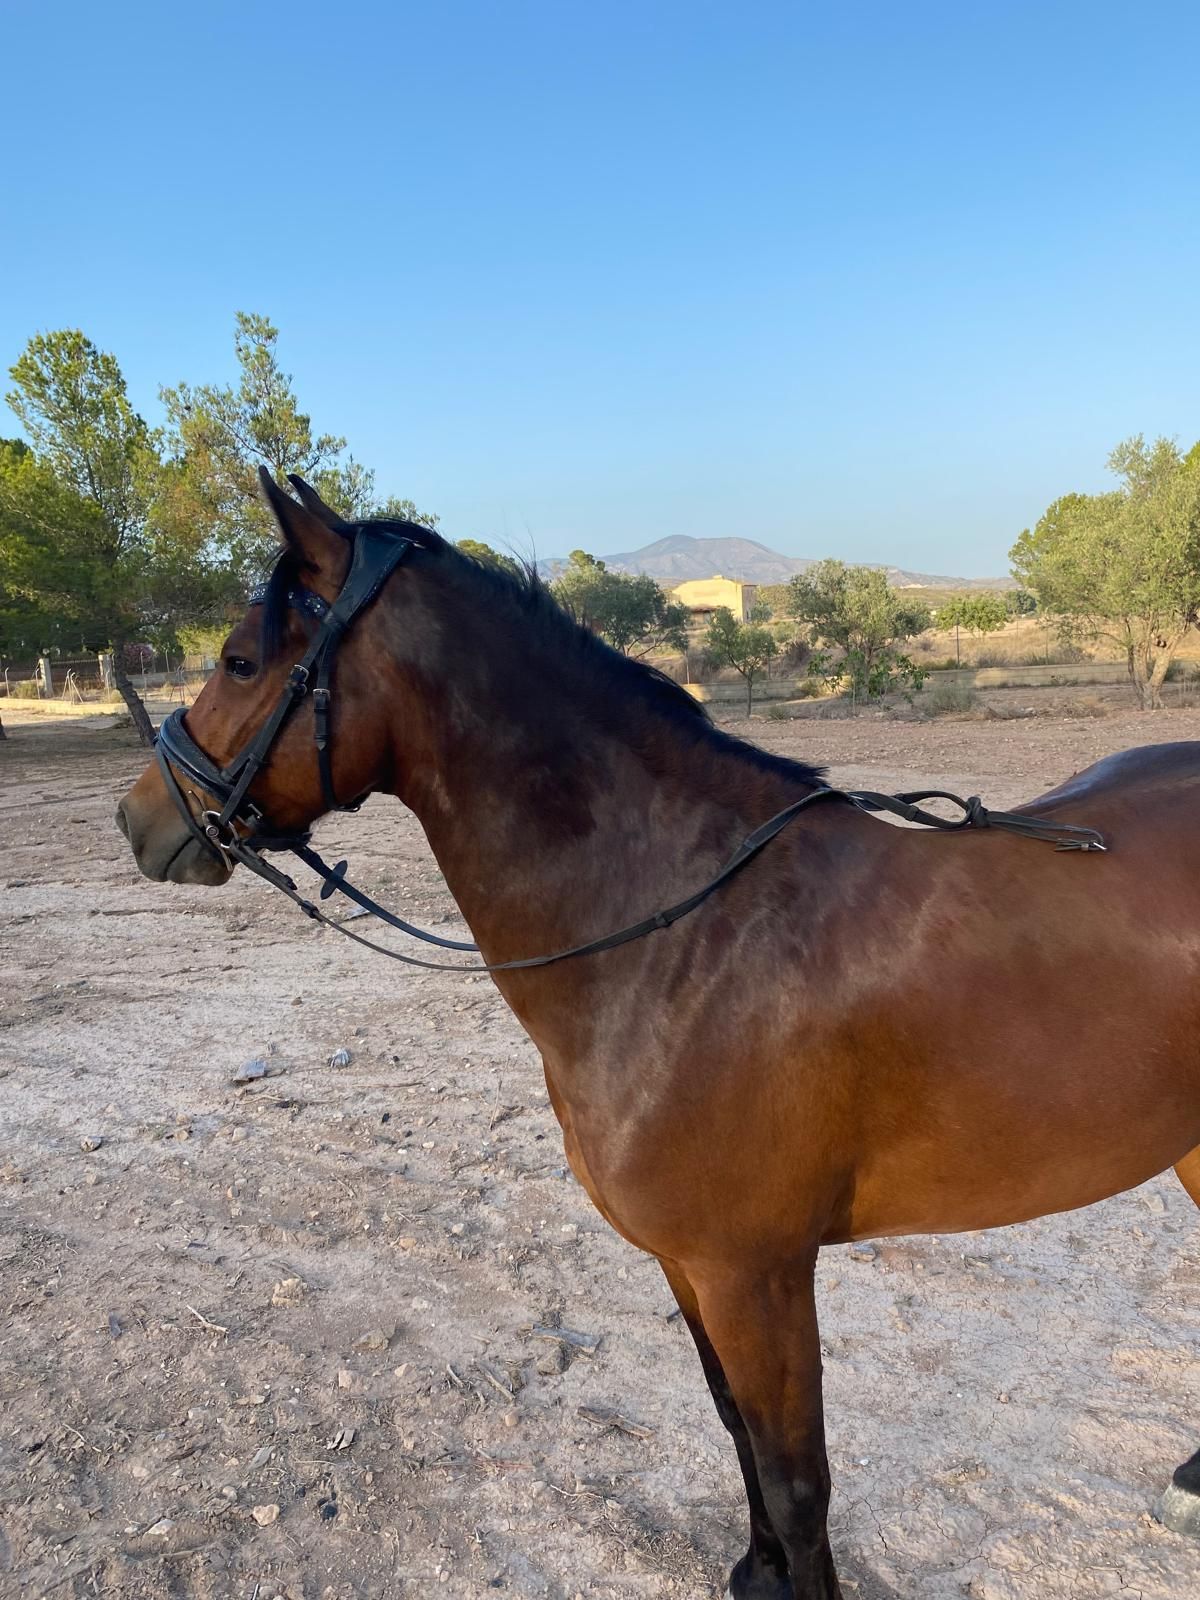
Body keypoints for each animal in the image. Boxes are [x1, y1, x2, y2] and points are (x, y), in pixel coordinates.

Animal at [116, 472, 1200, 1599]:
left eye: (241, 659)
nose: (141, 818)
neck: (682, 931)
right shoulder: (690, 1266)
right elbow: (736, 1431)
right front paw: (758, 1570)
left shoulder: (754, 1272)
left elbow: (798, 1476)